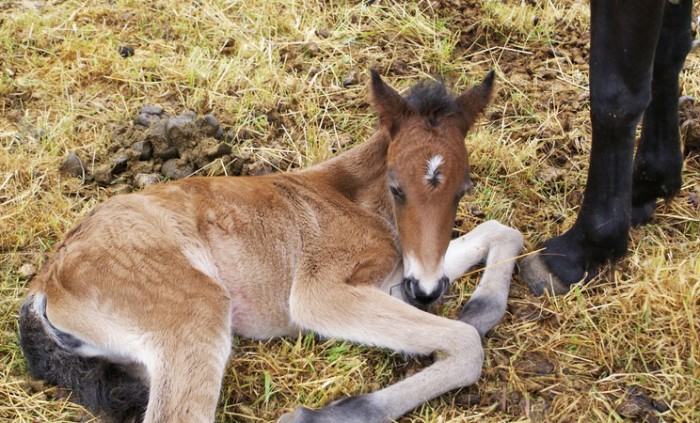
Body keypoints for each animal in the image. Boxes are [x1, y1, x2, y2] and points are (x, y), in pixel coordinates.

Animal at [19, 71, 524, 422]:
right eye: (397, 186)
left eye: (463, 190)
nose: (427, 293)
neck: (354, 198)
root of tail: (45, 283)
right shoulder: (320, 293)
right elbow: (465, 345)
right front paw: (328, 413)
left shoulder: (404, 273)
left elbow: (503, 232)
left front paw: (478, 310)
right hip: (195, 310)